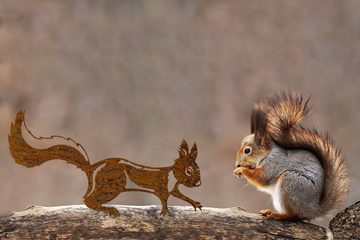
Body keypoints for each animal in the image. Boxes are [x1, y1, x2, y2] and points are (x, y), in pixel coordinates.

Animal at [8, 111, 202, 217]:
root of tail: (92, 168)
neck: (172, 174)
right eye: (189, 170)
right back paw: (108, 209)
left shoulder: (173, 188)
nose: (199, 183)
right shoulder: (161, 187)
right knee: (89, 200)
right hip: (111, 185)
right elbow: (164, 199)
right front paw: (165, 213)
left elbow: (179, 195)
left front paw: (196, 204)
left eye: (197, 169)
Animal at [233, 92, 348, 221]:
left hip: (291, 183)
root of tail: (313, 210)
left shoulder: (275, 163)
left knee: (293, 215)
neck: (268, 154)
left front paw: (241, 170)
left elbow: (263, 178)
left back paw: (277, 215)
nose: (237, 164)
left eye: (247, 150)